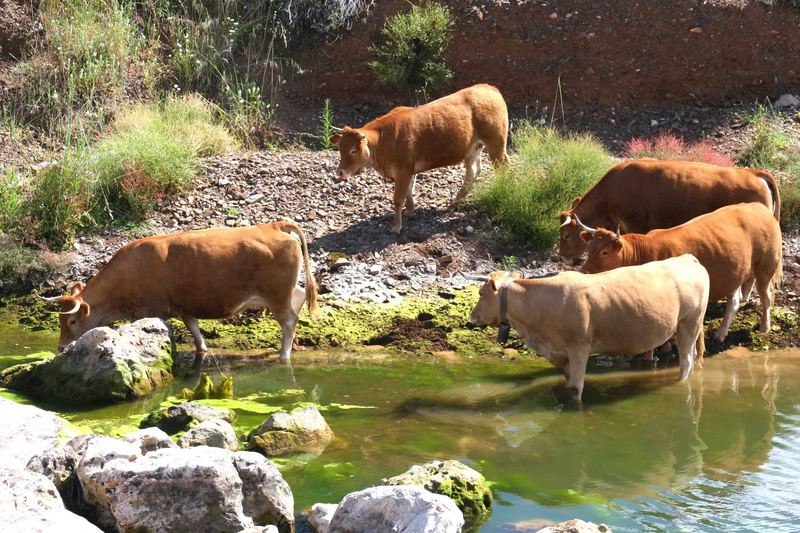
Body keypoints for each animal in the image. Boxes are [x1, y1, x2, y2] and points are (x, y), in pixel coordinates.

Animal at [43, 219, 318, 366]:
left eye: (72, 320)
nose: (61, 348)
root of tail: (273, 225)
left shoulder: (151, 310)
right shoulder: (186, 307)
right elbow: (196, 335)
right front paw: (203, 351)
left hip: (276, 295)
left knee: (289, 321)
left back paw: (284, 355)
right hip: (285, 291)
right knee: (299, 297)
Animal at [330, 83, 506, 233]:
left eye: (354, 150)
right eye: (340, 149)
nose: (340, 172)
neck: (383, 140)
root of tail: (488, 87)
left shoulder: (403, 170)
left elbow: (398, 198)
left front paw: (396, 226)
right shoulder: (408, 170)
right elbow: (409, 191)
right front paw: (409, 211)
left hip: (496, 142)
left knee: (502, 166)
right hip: (473, 148)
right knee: (473, 170)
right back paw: (456, 200)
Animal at [466, 254, 708, 400]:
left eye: (481, 293)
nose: (471, 316)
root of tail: (687, 258)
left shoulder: (579, 349)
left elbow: (575, 389)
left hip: (689, 322)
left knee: (686, 360)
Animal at [580, 202, 784, 342]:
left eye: (605, 252)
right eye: (588, 248)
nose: (584, 270)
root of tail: (758, 207)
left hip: (765, 266)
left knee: (766, 297)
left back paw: (764, 327)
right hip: (735, 273)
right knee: (733, 302)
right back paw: (721, 333)